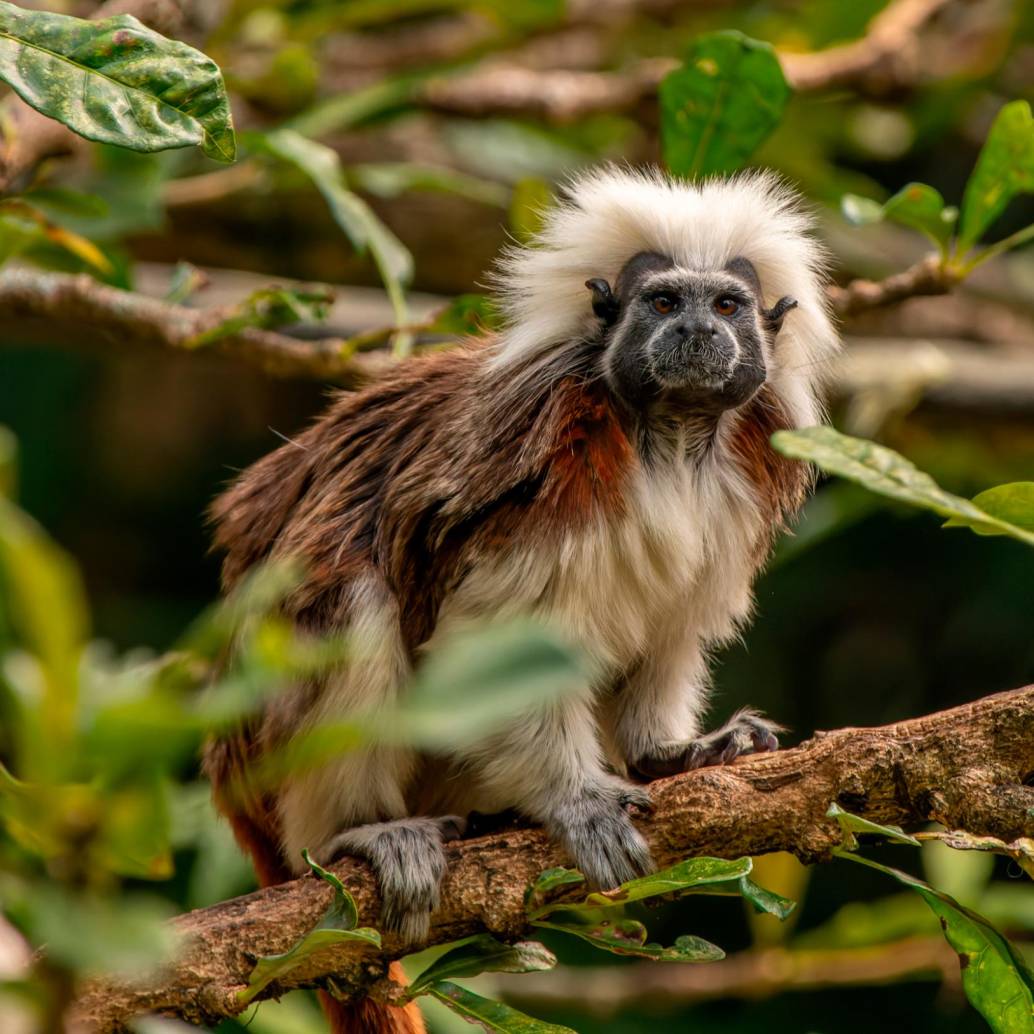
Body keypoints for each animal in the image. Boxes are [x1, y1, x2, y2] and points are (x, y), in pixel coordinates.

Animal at [203, 165, 839, 1029]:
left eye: (728, 306)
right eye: (664, 303)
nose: (696, 332)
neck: (670, 439)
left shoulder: (732, 495)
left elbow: (672, 629)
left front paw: (670, 751)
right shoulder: (541, 467)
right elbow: (494, 645)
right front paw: (575, 801)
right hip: (268, 752)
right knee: (350, 595)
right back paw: (357, 835)